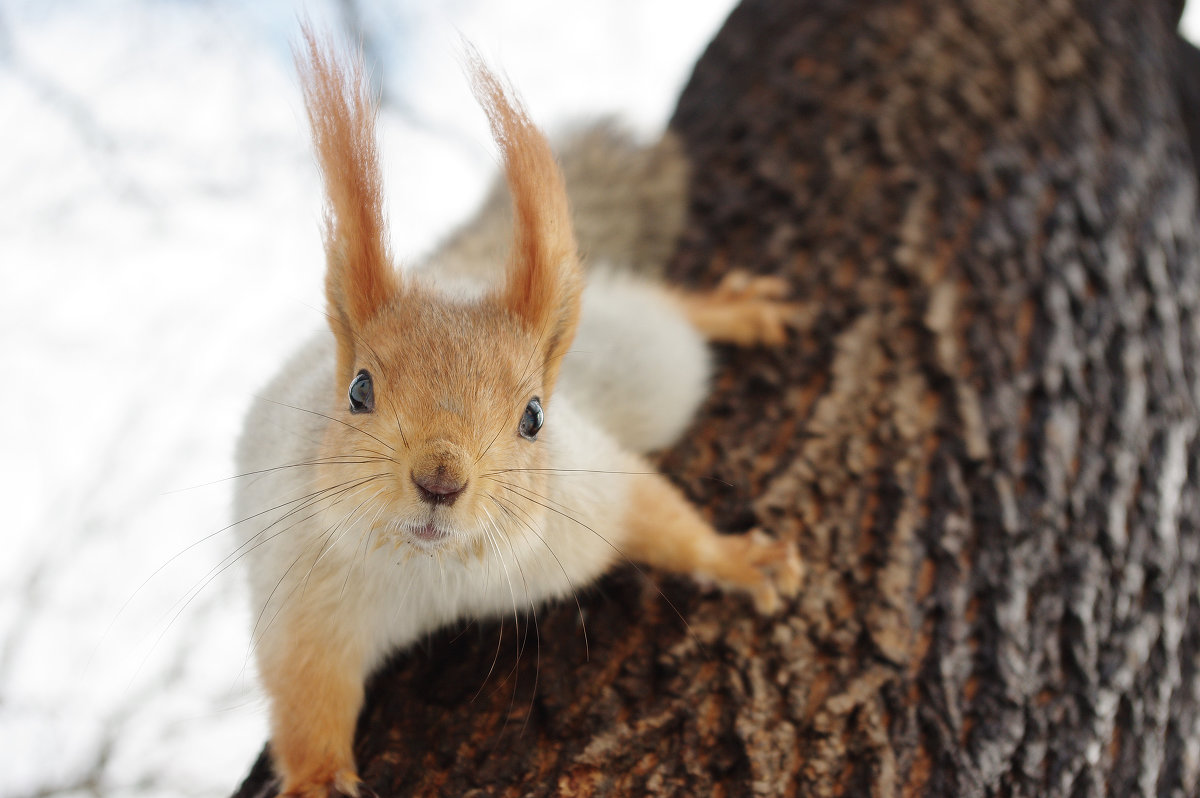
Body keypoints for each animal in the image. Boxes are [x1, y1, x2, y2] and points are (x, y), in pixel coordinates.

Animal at [231, 29, 806, 796]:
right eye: (357, 391)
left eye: (534, 416)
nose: (440, 481)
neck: (435, 570)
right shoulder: (304, 597)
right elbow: (306, 696)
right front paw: (318, 782)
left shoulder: (582, 502)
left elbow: (663, 519)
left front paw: (742, 560)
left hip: (644, 359)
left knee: (671, 318)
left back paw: (733, 311)